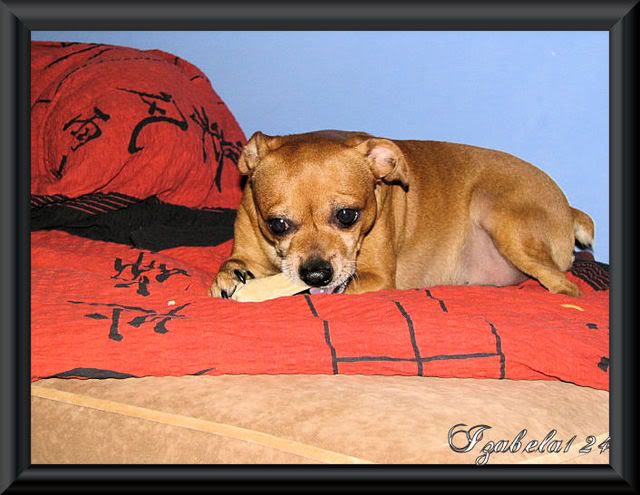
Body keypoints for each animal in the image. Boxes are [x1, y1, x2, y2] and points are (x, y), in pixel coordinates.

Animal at [210, 130, 594, 298]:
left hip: (503, 218)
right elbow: (231, 265)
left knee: (565, 286)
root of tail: (568, 208)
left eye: (347, 215)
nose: (316, 274)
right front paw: (230, 277)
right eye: (277, 224)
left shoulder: (376, 278)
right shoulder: (249, 250)